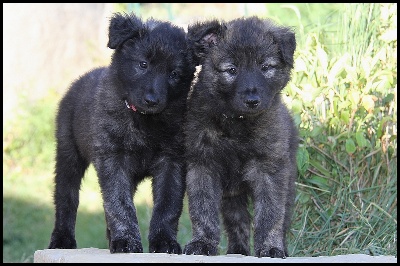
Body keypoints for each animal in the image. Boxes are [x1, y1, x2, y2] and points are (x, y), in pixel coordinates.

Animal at [48, 12, 195, 254]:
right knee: (66, 198)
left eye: (174, 74)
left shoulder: (172, 160)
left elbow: (168, 205)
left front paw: (164, 241)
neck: (144, 120)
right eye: (143, 64)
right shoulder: (113, 158)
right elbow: (119, 202)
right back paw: (62, 240)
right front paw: (126, 241)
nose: (152, 101)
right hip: (68, 153)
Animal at [183, 16, 298, 258]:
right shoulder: (202, 164)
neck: (238, 123)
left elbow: (271, 213)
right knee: (238, 222)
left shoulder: (270, 169)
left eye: (265, 67)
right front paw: (202, 243)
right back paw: (238, 251)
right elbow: (202, 208)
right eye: (232, 69)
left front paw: (270, 247)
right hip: (232, 195)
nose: (252, 100)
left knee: (282, 218)